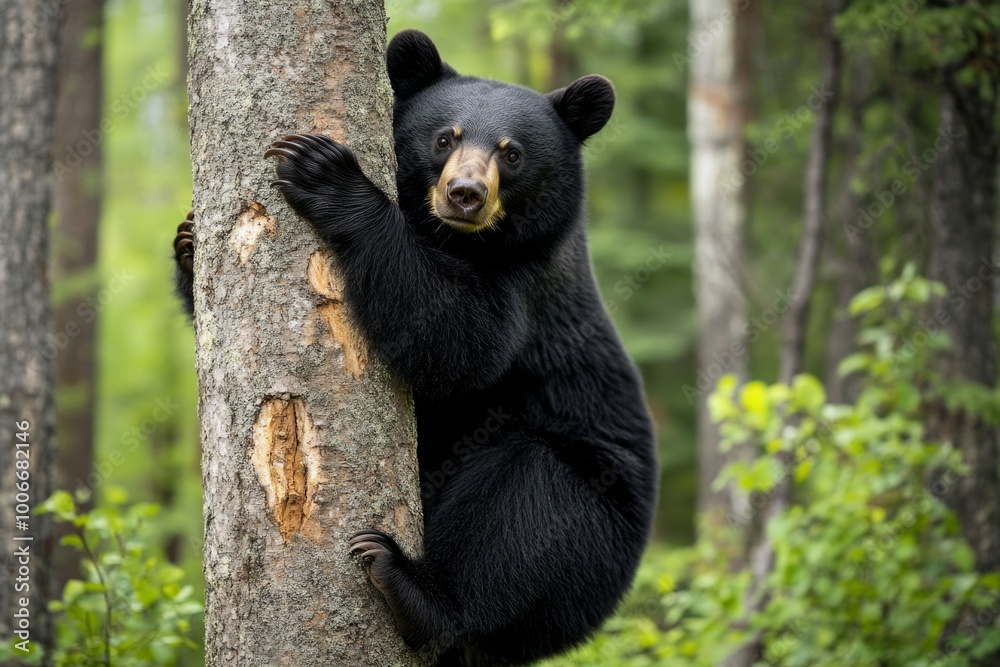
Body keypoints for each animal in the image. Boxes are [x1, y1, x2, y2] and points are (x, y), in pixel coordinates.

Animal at [174, 29, 657, 667]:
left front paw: (323, 171)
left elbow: (458, 341)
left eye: (512, 153)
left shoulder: (527, 281)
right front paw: (188, 241)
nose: (465, 193)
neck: (457, 238)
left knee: (526, 506)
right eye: (445, 137)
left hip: (598, 519)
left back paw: (410, 587)